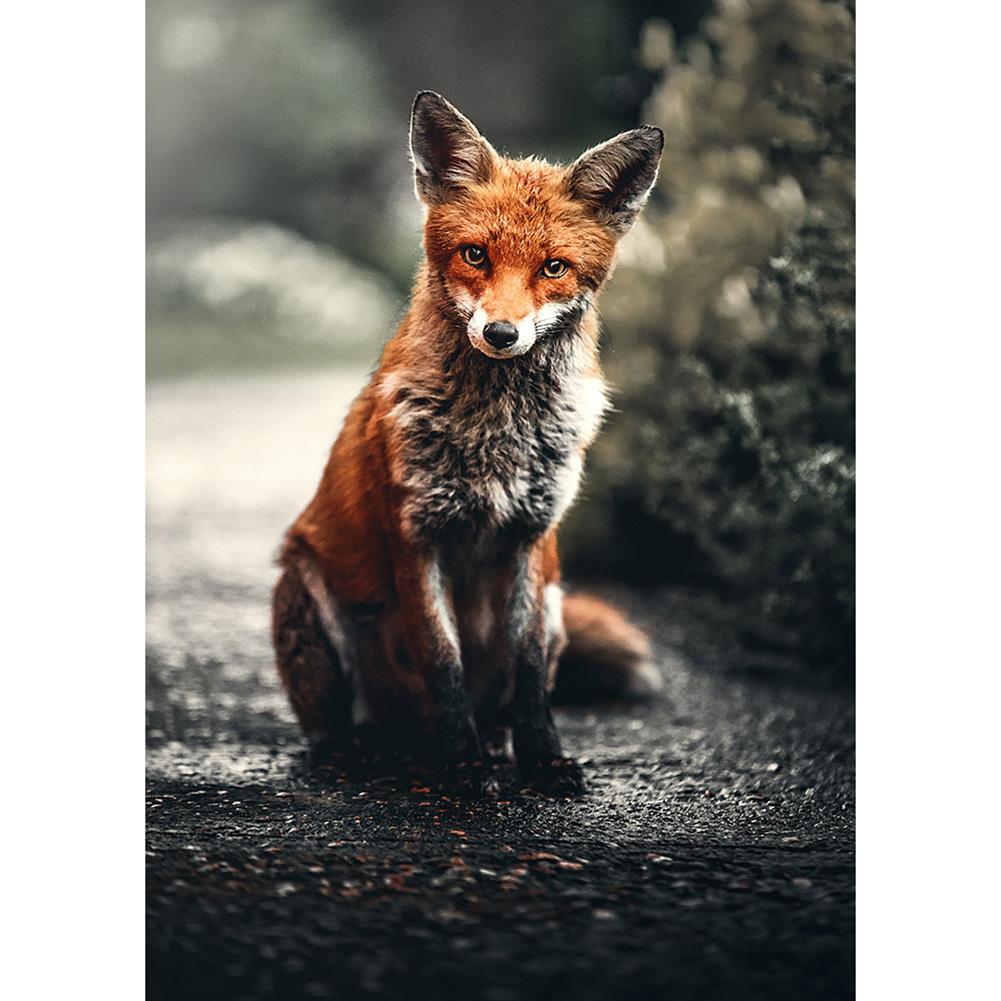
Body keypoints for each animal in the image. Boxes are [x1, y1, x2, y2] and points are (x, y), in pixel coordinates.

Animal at [272, 92, 663, 796]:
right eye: (476, 255)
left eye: (554, 267)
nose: (502, 334)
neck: (496, 433)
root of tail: (404, 737)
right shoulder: (416, 535)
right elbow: (443, 662)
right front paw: (462, 766)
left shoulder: (533, 539)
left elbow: (529, 674)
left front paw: (543, 759)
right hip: (305, 588)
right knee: (339, 726)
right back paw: (366, 750)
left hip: (558, 603)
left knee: (503, 700)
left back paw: (493, 743)